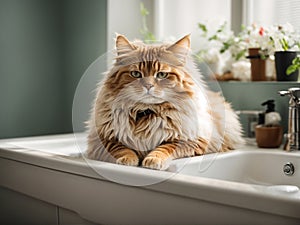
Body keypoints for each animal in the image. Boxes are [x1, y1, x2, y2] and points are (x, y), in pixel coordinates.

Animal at [85, 34, 244, 170]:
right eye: (136, 74)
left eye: (161, 74)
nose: (148, 85)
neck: (145, 112)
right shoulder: (100, 139)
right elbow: (120, 147)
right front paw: (128, 159)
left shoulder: (196, 139)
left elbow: (166, 147)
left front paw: (153, 159)